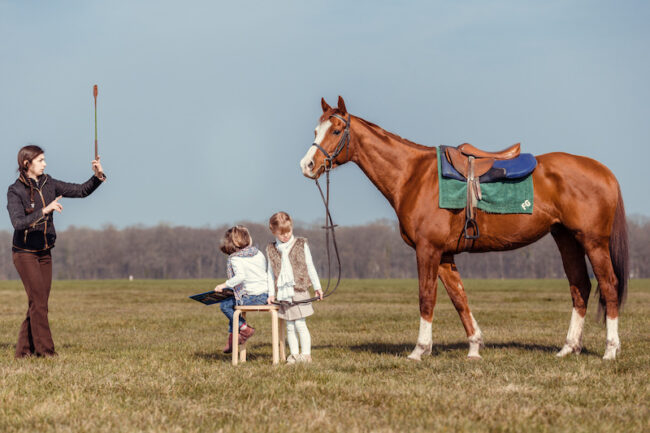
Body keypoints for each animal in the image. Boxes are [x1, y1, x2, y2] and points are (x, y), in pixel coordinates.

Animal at [300, 96, 628, 361]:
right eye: (316, 131)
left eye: (336, 131)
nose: (307, 165)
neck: (413, 176)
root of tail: (605, 172)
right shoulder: (445, 255)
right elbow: (459, 299)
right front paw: (474, 347)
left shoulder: (428, 250)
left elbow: (426, 297)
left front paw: (419, 350)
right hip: (566, 239)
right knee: (580, 287)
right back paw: (567, 348)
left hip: (593, 241)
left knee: (609, 286)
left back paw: (610, 350)